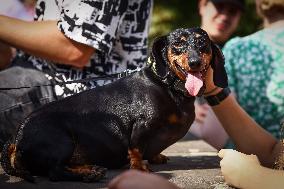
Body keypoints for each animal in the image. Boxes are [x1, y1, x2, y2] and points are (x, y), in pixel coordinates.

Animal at [0, 27, 226, 182]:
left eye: (202, 43)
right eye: (178, 44)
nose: (195, 62)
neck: (167, 85)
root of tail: (17, 136)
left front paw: (156, 157)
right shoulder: (141, 126)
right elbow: (136, 148)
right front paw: (140, 167)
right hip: (62, 140)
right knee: (55, 171)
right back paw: (89, 174)